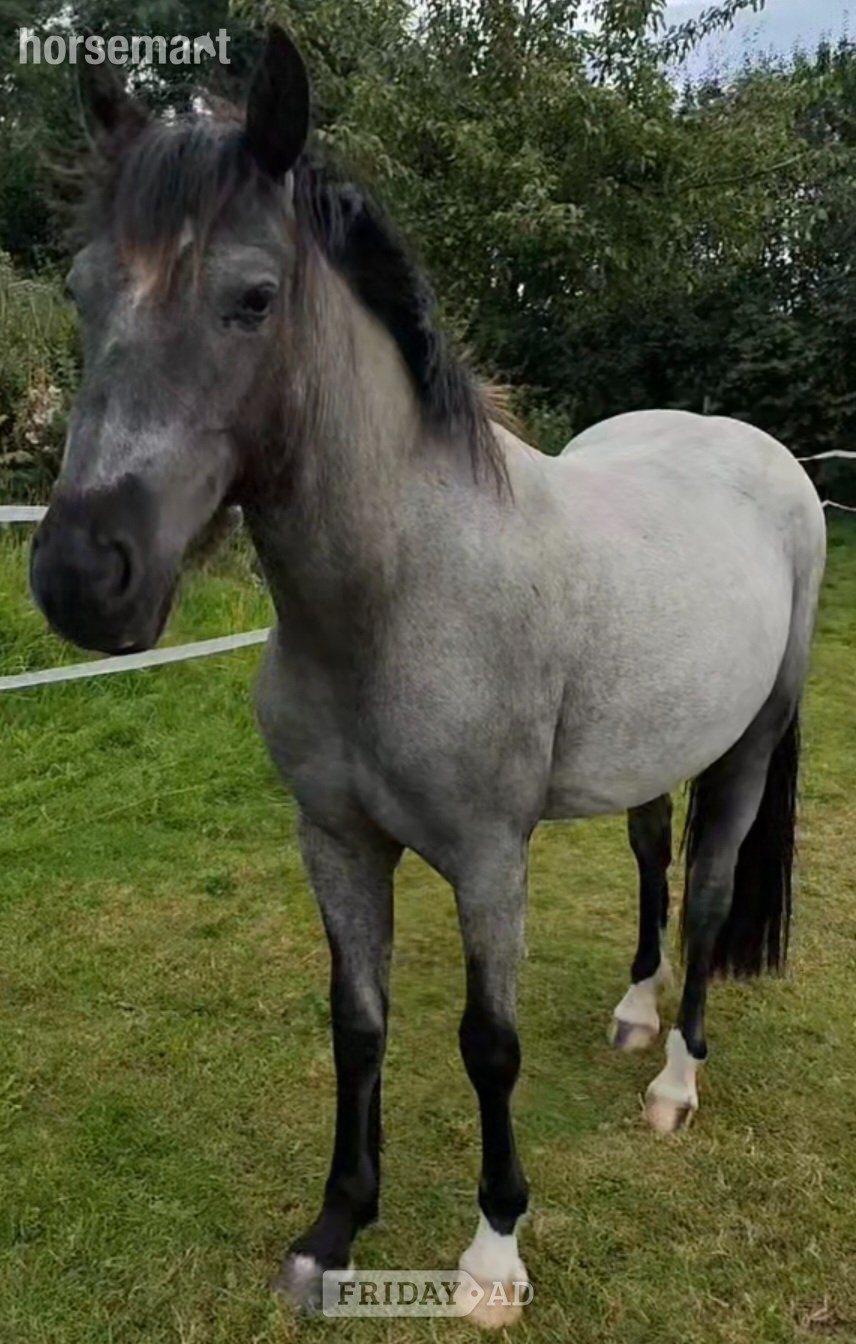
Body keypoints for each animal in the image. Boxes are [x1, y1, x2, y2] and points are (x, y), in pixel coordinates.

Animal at [30, 28, 826, 1330]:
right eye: (86, 292)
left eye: (252, 298)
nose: (82, 576)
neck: (403, 590)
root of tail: (763, 456)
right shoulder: (336, 843)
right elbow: (359, 1024)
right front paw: (333, 1232)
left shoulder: (488, 859)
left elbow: (484, 1043)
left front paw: (493, 1253)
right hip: (652, 750)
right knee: (652, 862)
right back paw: (634, 1013)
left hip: (749, 745)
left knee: (709, 896)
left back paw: (675, 1081)